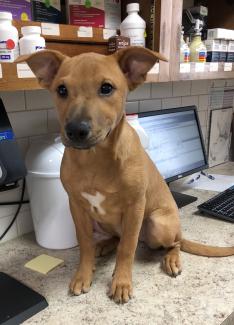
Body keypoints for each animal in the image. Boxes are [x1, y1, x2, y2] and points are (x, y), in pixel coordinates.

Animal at [17, 46, 234, 302]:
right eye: (62, 90)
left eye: (106, 88)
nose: (76, 130)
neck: (94, 160)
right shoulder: (77, 207)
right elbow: (85, 244)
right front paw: (83, 274)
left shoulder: (135, 206)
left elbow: (127, 249)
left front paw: (121, 282)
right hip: (102, 221)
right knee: (116, 238)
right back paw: (104, 245)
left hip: (157, 224)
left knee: (174, 243)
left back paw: (171, 259)